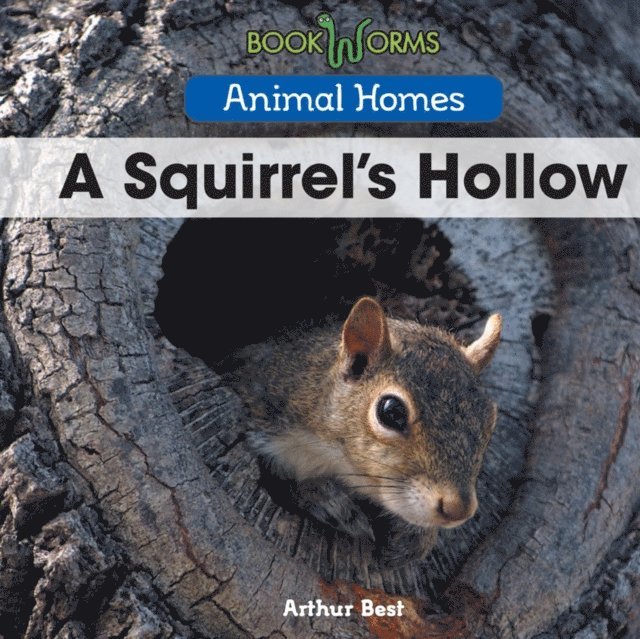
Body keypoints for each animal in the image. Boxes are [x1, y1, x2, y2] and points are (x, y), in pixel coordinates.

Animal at [222, 297, 502, 566]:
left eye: (491, 420)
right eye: (391, 412)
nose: (458, 510)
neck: (334, 457)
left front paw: (415, 536)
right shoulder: (263, 421)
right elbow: (283, 482)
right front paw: (328, 501)